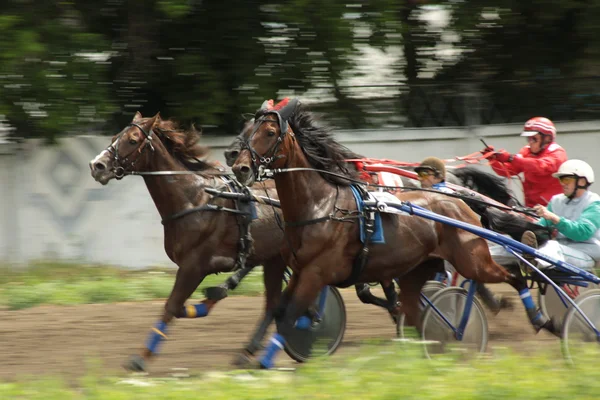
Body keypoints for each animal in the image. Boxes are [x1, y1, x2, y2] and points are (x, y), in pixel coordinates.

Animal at [89, 111, 296, 370]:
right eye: (115, 137)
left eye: (133, 140)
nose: (97, 165)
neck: (194, 199)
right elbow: (178, 307)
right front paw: (209, 299)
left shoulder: (193, 266)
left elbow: (170, 306)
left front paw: (140, 358)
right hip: (274, 260)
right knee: (273, 304)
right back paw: (246, 351)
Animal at [231, 98, 556, 368]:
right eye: (247, 129)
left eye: (268, 132)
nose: (239, 167)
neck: (321, 205)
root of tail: (462, 202)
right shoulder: (301, 270)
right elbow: (278, 310)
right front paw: (253, 350)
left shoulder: (317, 273)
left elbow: (289, 315)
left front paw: (265, 360)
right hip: (419, 269)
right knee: (416, 312)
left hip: (472, 260)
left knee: (513, 276)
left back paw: (541, 319)